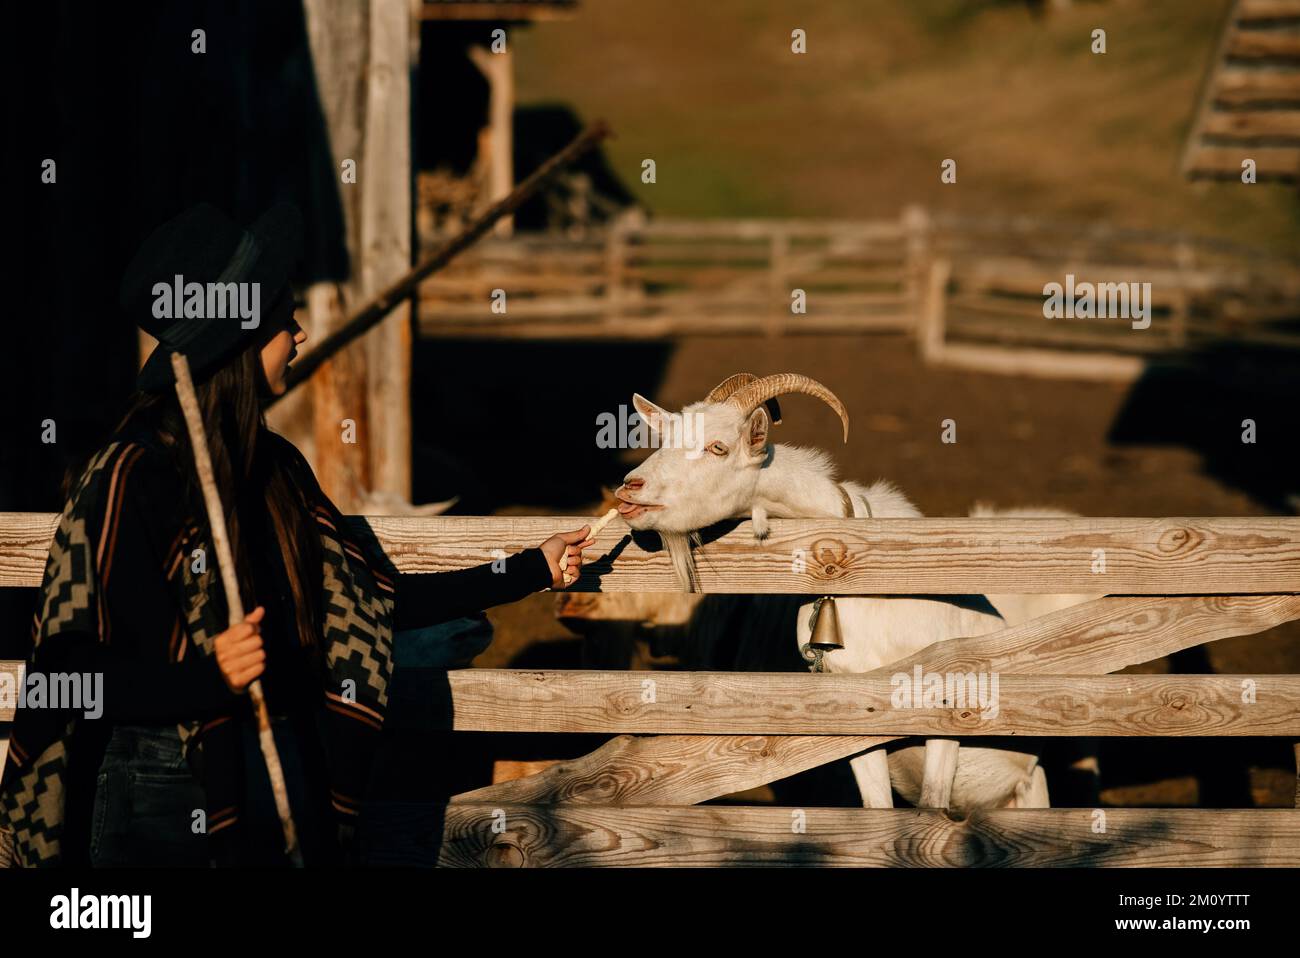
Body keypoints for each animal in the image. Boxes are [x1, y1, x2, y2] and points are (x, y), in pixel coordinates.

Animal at [616, 369, 1097, 811]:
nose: (630, 488)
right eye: (664, 439)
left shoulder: (946, 717)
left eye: (718, 447)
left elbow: (931, 811)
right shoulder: (857, 722)